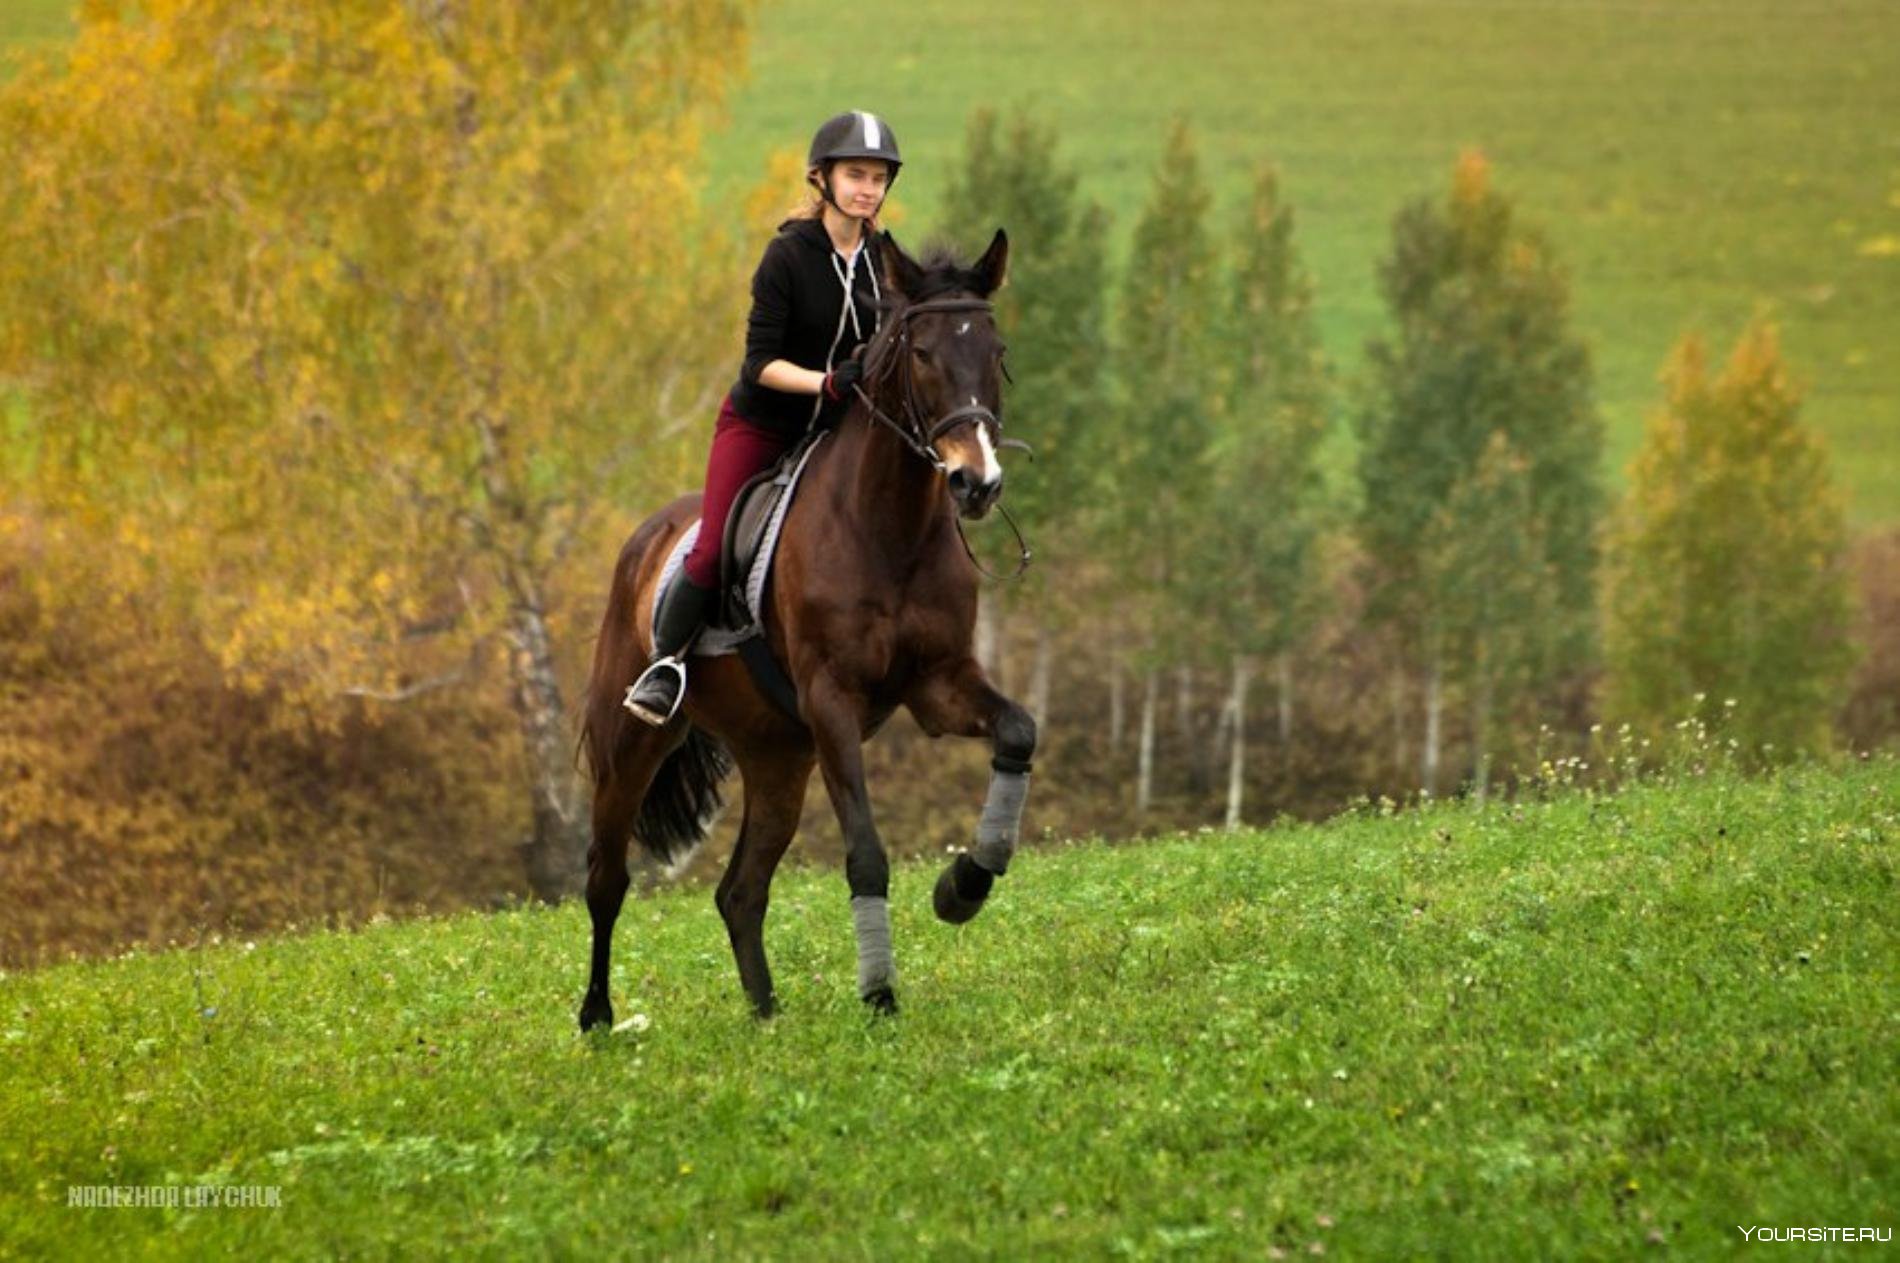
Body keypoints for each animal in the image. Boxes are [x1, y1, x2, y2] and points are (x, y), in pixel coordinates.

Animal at [573, 228, 1033, 1025]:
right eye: (922, 353)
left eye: (996, 349)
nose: (977, 484)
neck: (887, 528)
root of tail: (645, 539)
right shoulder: (831, 700)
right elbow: (866, 852)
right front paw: (880, 992)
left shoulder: (939, 684)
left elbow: (1018, 732)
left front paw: (963, 887)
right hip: (631, 740)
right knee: (608, 877)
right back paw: (598, 1016)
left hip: (778, 757)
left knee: (740, 891)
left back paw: (765, 1015)